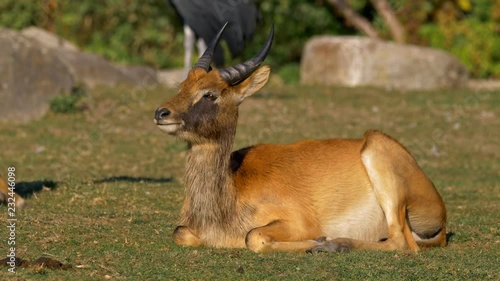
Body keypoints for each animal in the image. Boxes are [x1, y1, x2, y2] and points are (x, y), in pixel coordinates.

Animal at [154, 23, 448, 252]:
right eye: (182, 86)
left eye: (210, 94)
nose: (161, 112)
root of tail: (441, 214)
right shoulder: (186, 229)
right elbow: (179, 232)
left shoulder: (296, 222)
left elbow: (253, 237)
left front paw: (319, 240)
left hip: (379, 158)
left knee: (401, 242)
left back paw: (334, 243)